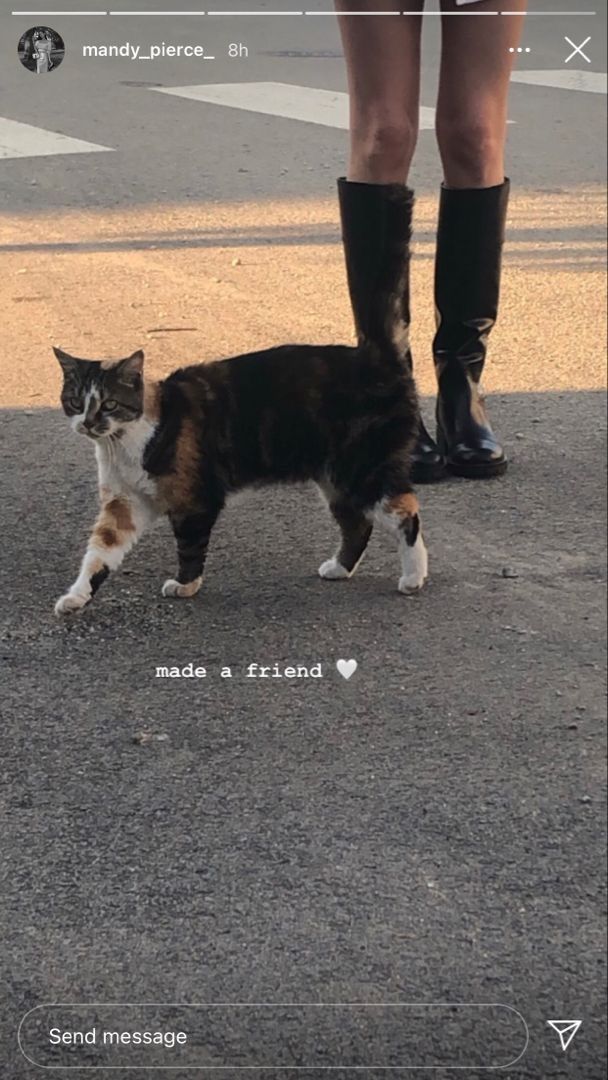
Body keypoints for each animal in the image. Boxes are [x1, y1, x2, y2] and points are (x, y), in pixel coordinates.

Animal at [54, 341, 429, 613]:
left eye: (110, 404)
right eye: (75, 401)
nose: (88, 423)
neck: (123, 443)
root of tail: (382, 364)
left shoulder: (195, 501)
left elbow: (190, 546)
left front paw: (185, 585)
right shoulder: (125, 502)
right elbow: (101, 550)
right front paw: (77, 597)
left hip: (363, 472)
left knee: (406, 514)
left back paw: (413, 577)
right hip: (336, 482)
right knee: (358, 526)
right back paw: (339, 568)